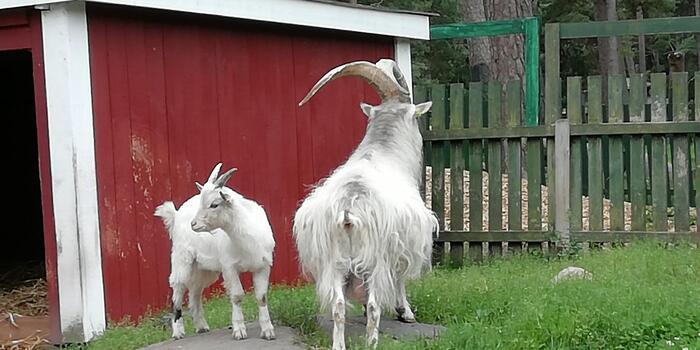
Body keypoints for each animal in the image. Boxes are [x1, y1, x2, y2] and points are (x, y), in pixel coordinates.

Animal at [154, 165, 274, 342]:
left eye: (214, 204)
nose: (194, 224)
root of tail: (176, 214)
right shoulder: (229, 267)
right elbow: (237, 295)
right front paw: (239, 330)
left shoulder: (263, 265)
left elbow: (262, 296)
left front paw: (268, 331)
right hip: (182, 258)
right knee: (178, 288)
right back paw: (178, 332)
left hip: (203, 268)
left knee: (195, 293)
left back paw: (201, 326)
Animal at [292, 58, 434, 348]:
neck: (384, 151)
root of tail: (348, 206)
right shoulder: (402, 245)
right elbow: (400, 279)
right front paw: (406, 313)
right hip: (375, 259)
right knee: (375, 304)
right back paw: (372, 341)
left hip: (333, 262)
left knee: (338, 305)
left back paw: (339, 343)